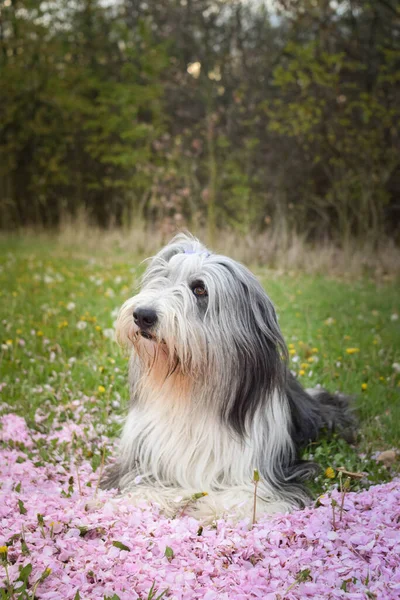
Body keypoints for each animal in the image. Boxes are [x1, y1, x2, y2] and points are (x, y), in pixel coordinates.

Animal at [101, 234, 354, 520]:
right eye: (162, 277)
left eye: (200, 289)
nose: (143, 315)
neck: (191, 387)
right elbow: (137, 484)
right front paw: (155, 497)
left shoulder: (269, 472)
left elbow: (248, 494)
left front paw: (208, 506)